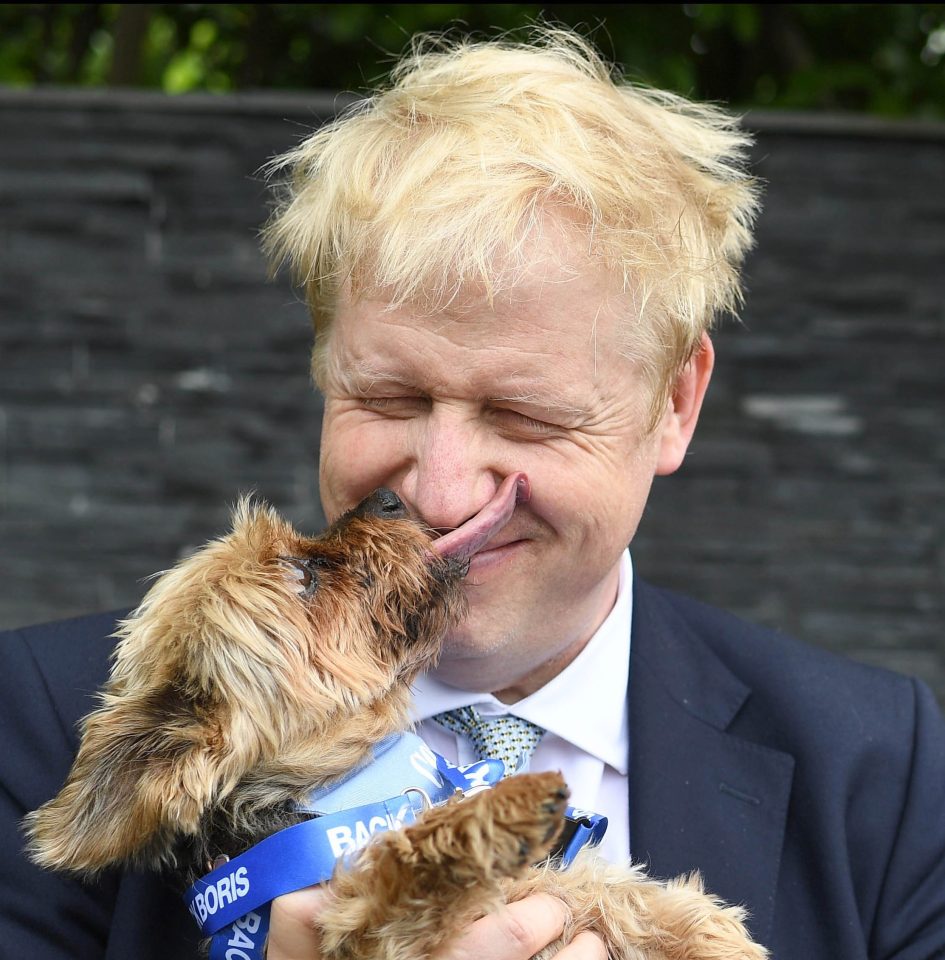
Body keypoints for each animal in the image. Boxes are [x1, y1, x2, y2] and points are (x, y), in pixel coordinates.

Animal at [25, 480, 768, 960]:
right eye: (304, 576)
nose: (388, 496)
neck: (357, 791)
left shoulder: (563, 884)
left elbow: (613, 889)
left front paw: (709, 934)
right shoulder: (367, 929)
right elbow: (418, 861)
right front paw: (499, 809)